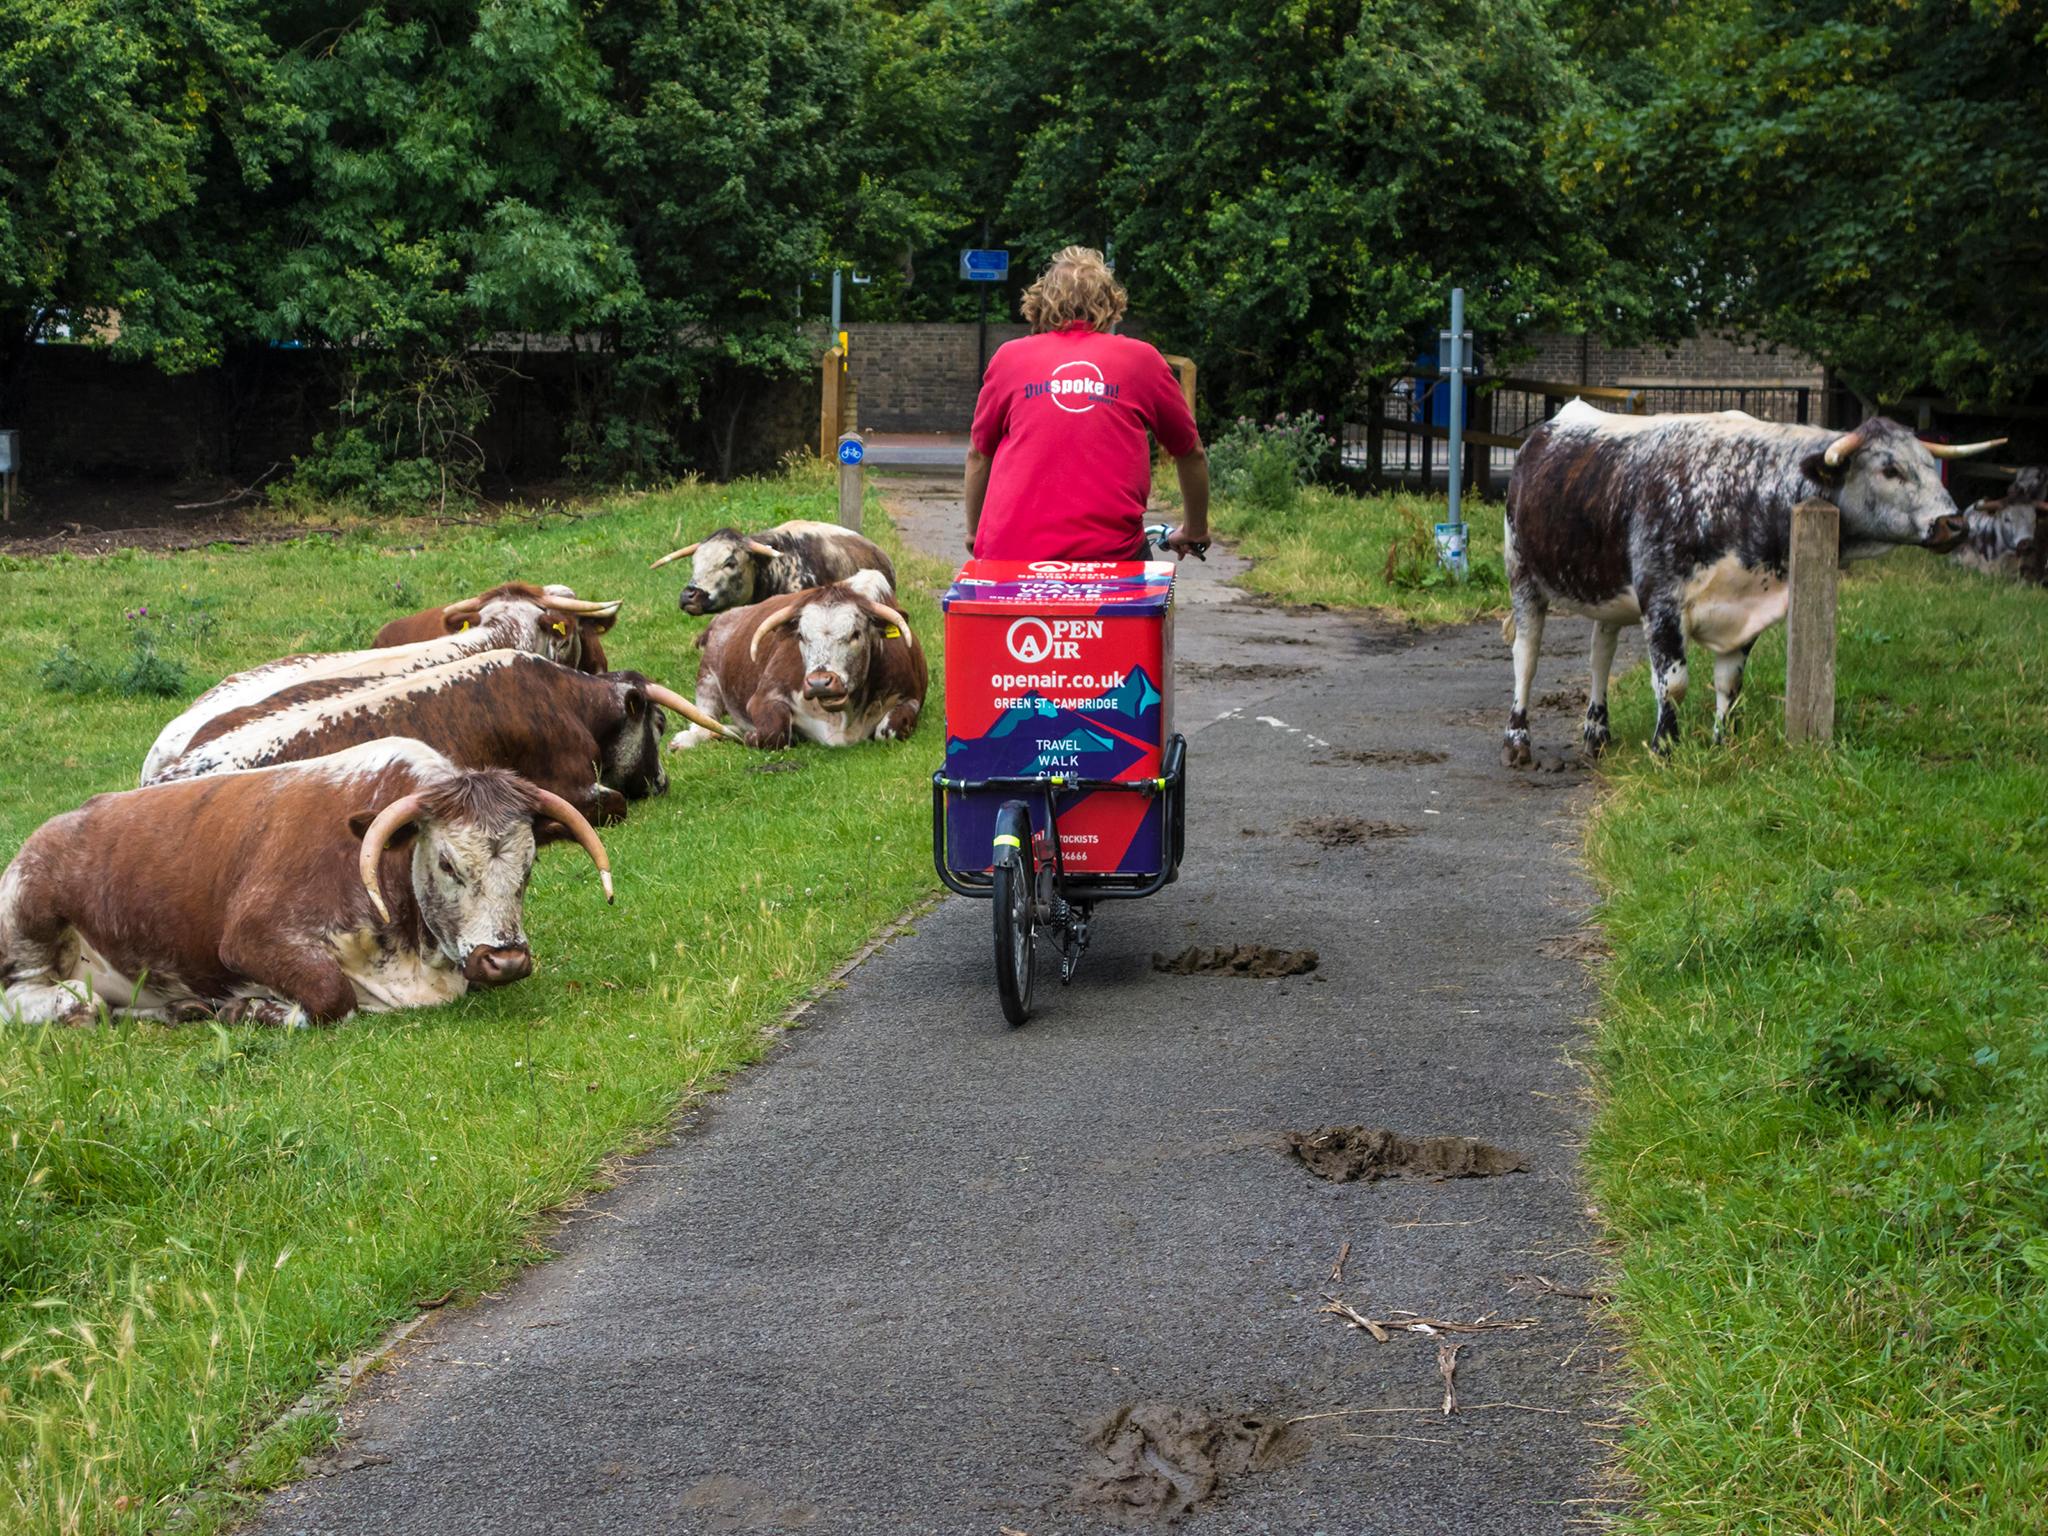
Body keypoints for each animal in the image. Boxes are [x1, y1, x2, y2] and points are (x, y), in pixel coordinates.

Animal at [0, 741, 606, 1028]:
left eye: (528, 865)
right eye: (449, 863)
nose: (505, 960)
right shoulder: (251, 937)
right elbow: (330, 995)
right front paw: (253, 1011)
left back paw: (182, 1009)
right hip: (29, 911)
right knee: (39, 996)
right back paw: (74, 1005)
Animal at [671, 573, 929, 753]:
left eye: (855, 634)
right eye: (802, 636)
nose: (820, 683)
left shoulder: (910, 698)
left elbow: (888, 732)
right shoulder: (763, 697)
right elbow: (774, 732)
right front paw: (752, 735)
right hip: (708, 677)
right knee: (704, 720)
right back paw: (686, 740)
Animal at [1507, 405, 1998, 765]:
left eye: (1930, 465)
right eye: (1890, 469)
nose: (1954, 524)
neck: (1744, 488)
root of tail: (1545, 429)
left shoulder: (1744, 610)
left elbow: (1730, 684)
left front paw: (1722, 742)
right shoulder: (1662, 602)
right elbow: (1674, 683)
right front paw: (1665, 748)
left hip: (1607, 593)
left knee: (1599, 654)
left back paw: (1597, 733)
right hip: (1521, 574)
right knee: (1526, 656)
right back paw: (1518, 738)